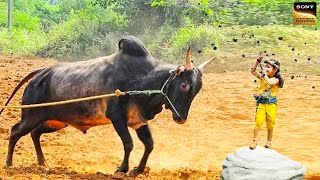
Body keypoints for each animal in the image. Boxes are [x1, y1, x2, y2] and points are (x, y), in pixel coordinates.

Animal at [0, 35, 215, 177]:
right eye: (184, 84)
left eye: (197, 89)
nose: (181, 118)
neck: (143, 79)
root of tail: (40, 74)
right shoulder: (117, 118)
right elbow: (128, 143)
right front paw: (122, 169)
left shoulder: (138, 121)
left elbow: (149, 144)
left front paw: (138, 170)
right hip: (31, 115)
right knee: (15, 131)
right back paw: (9, 164)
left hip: (55, 121)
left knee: (35, 133)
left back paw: (43, 164)